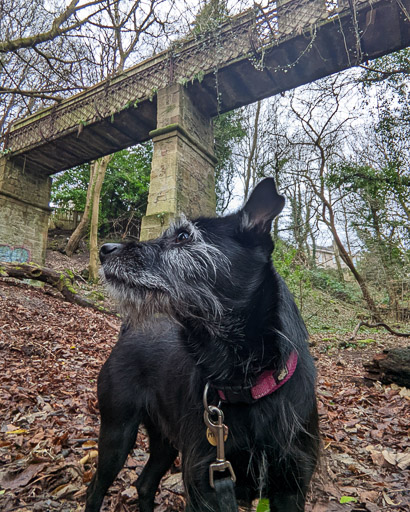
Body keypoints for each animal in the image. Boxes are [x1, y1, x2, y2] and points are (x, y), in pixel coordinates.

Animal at [85, 178, 318, 510]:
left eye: (183, 236)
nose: (105, 250)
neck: (244, 383)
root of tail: (129, 330)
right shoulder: (204, 482)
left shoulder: (291, 487)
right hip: (117, 432)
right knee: (96, 489)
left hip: (165, 441)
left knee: (144, 484)